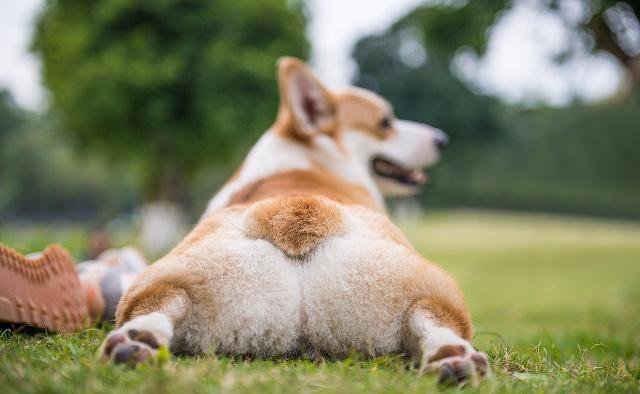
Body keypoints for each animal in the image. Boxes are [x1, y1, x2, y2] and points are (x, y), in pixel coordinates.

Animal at [100, 57, 488, 382]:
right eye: (385, 123)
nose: (442, 139)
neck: (308, 160)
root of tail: (290, 213)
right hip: (442, 288)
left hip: (174, 277)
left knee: (164, 302)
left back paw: (139, 341)